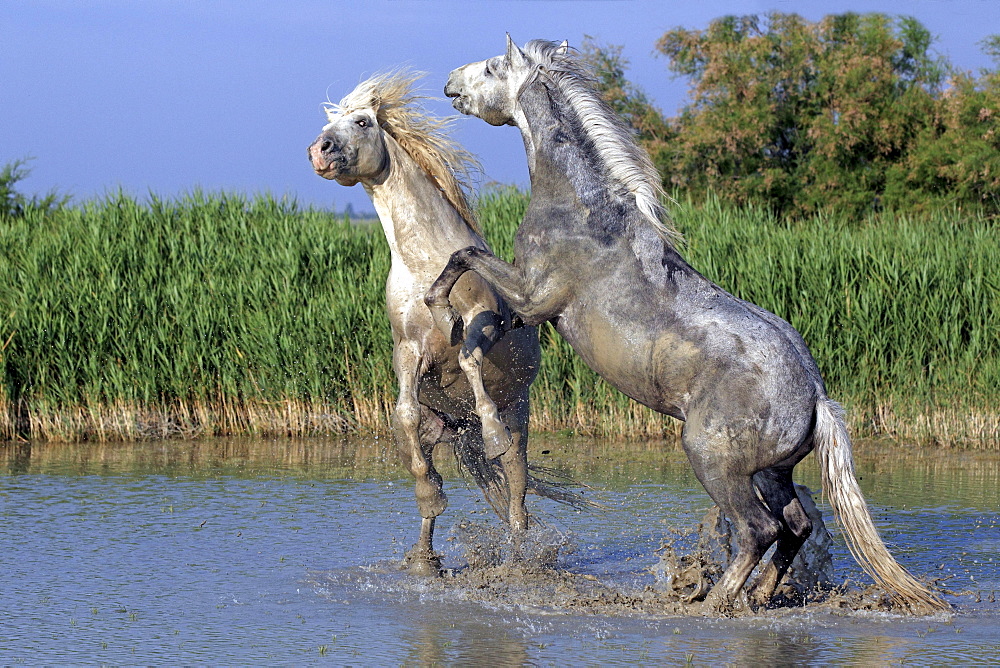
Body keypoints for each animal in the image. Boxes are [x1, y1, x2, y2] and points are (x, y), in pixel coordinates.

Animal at [304, 72, 572, 576]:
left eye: (362, 121)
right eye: (331, 123)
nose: (319, 149)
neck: (422, 258)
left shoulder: (486, 322)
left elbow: (467, 358)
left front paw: (491, 433)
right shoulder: (408, 350)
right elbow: (406, 415)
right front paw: (431, 499)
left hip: (521, 419)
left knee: (517, 499)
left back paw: (517, 558)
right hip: (440, 429)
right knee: (428, 453)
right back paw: (426, 557)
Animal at [426, 39, 948, 612]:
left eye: (492, 67)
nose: (450, 81)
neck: (583, 209)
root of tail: (815, 395)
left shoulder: (534, 295)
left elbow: (465, 254)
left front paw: (436, 301)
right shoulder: (525, 308)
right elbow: (479, 334)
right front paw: (460, 351)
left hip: (713, 460)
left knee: (759, 530)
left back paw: (715, 600)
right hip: (773, 471)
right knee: (796, 526)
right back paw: (758, 595)